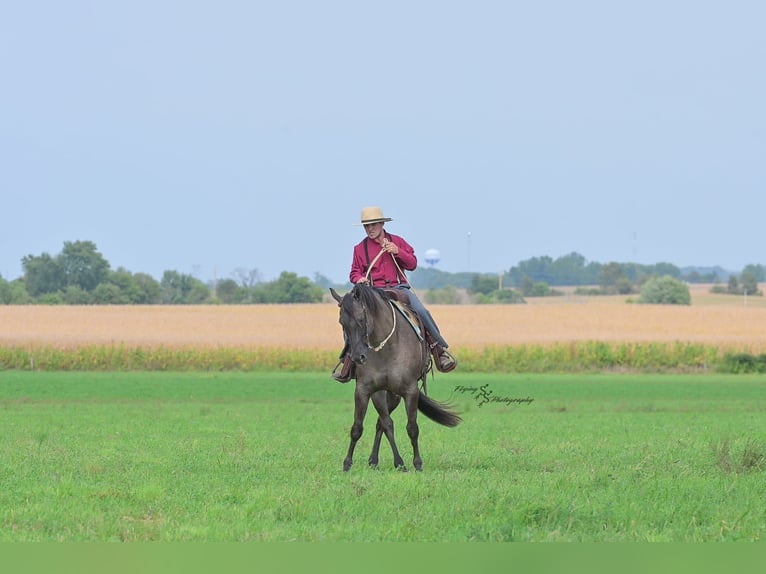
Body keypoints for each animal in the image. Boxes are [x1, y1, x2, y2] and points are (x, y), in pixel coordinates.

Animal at [330, 283, 461, 471]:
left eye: (361, 319)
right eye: (342, 323)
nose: (357, 357)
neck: (386, 347)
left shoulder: (410, 391)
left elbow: (412, 428)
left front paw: (417, 464)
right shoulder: (367, 390)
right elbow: (362, 427)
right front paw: (348, 464)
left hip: (395, 395)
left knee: (382, 423)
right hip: (387, 394)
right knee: (382, 422)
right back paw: (374, 461)